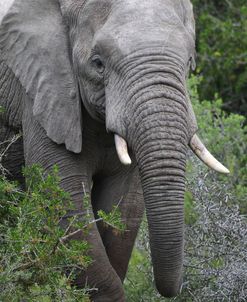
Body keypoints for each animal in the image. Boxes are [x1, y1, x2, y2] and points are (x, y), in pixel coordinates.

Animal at [0, 0, 229, 300]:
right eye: (98, 63)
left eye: (190, 62)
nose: (176, 288)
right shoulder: (43, 89)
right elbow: (65, 198)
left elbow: (123, 203)